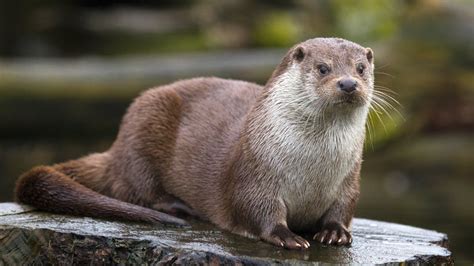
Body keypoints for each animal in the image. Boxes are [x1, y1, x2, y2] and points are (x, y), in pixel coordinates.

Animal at [14, 37, 374, 249]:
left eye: (361, 68)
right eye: (323, 68)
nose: (348, 83)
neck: (313, 169)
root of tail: (116, 149)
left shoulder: (350, 180)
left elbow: (344, 208)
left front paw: (334, 232)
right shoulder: (254, 173)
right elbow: (256, 209)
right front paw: (287, 236)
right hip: (143, 125)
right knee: (133, 189)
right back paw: (178, 207)